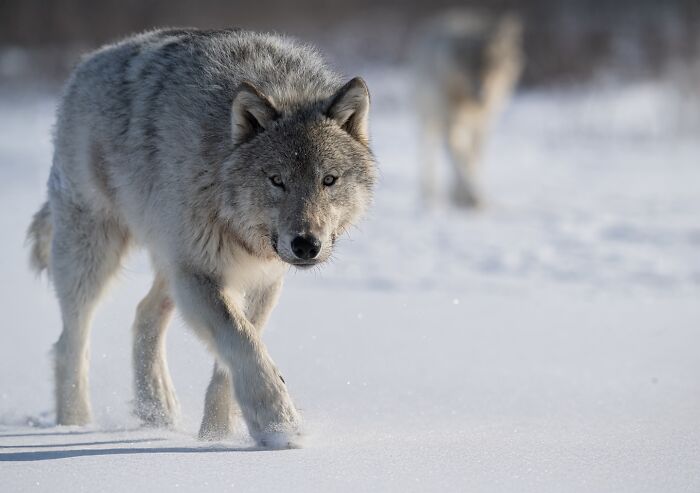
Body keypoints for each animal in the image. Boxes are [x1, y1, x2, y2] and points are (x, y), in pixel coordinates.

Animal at [26, 28, 376, 448]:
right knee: (70, 343)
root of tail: (86, 63)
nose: (306, 245)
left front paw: (214, 437)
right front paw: (279, 424)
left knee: (145, 313)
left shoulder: (260, 280)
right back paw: (74, 426)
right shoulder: (200, 272)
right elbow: (242, 343)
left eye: (329, 180)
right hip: (94, 254)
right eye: (277, 180)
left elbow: (236, 352)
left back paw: (156, 412)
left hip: (168, 262)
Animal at [413, 10, 523, 208]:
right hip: (427, 121)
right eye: (469, 67)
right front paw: (471, 197)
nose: (482, 94)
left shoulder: (483, 126)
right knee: (428, 155)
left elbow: (472, 159)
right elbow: (460, 159)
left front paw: (464, 196)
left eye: (493, 66)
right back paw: (428, 195)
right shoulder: (449, 122)